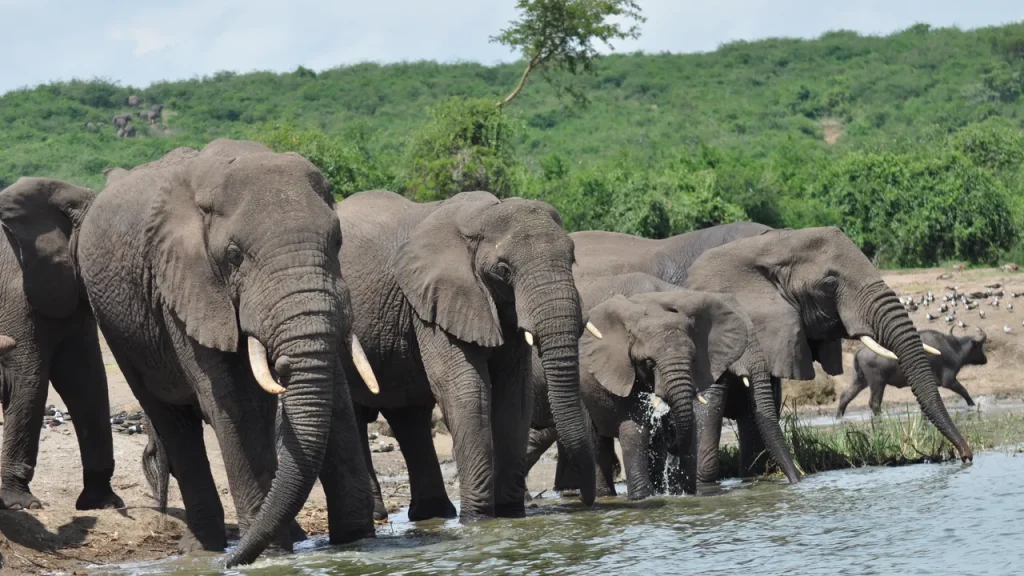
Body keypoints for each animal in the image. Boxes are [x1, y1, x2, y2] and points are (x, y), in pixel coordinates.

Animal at [76, 139, 377, 567]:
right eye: (234, 256)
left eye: (337, 243)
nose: (283, 362)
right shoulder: (183, 287)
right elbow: (234, 402)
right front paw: (270, 554)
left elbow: (332, 394)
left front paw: (356, 541)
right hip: (118, 329)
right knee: (171, 419)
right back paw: (205, 548)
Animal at [337, 190, 594, 523]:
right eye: (503, 270)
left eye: (572, 259)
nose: (588, 502)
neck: (481, 216)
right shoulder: (433, 304)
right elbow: (466, 392)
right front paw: (477, 520)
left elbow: (514, 397)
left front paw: (510, 514)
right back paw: (384, 514)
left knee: (409, 414)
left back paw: (432, 513)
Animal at [526, 273, 800, 499]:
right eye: (648, 362)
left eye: (692, 358)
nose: (798, 480)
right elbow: (634, 428)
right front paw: (644, 498)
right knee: (595, 439)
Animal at [838, 327, 987, 417]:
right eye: (979, 346)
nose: (985, 360)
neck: (953, 347)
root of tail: (859, 351)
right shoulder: (949, 381)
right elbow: (964, 391)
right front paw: (972, 405)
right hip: (877, 382)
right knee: (874, 403)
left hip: (860, 381)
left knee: (845, 396)